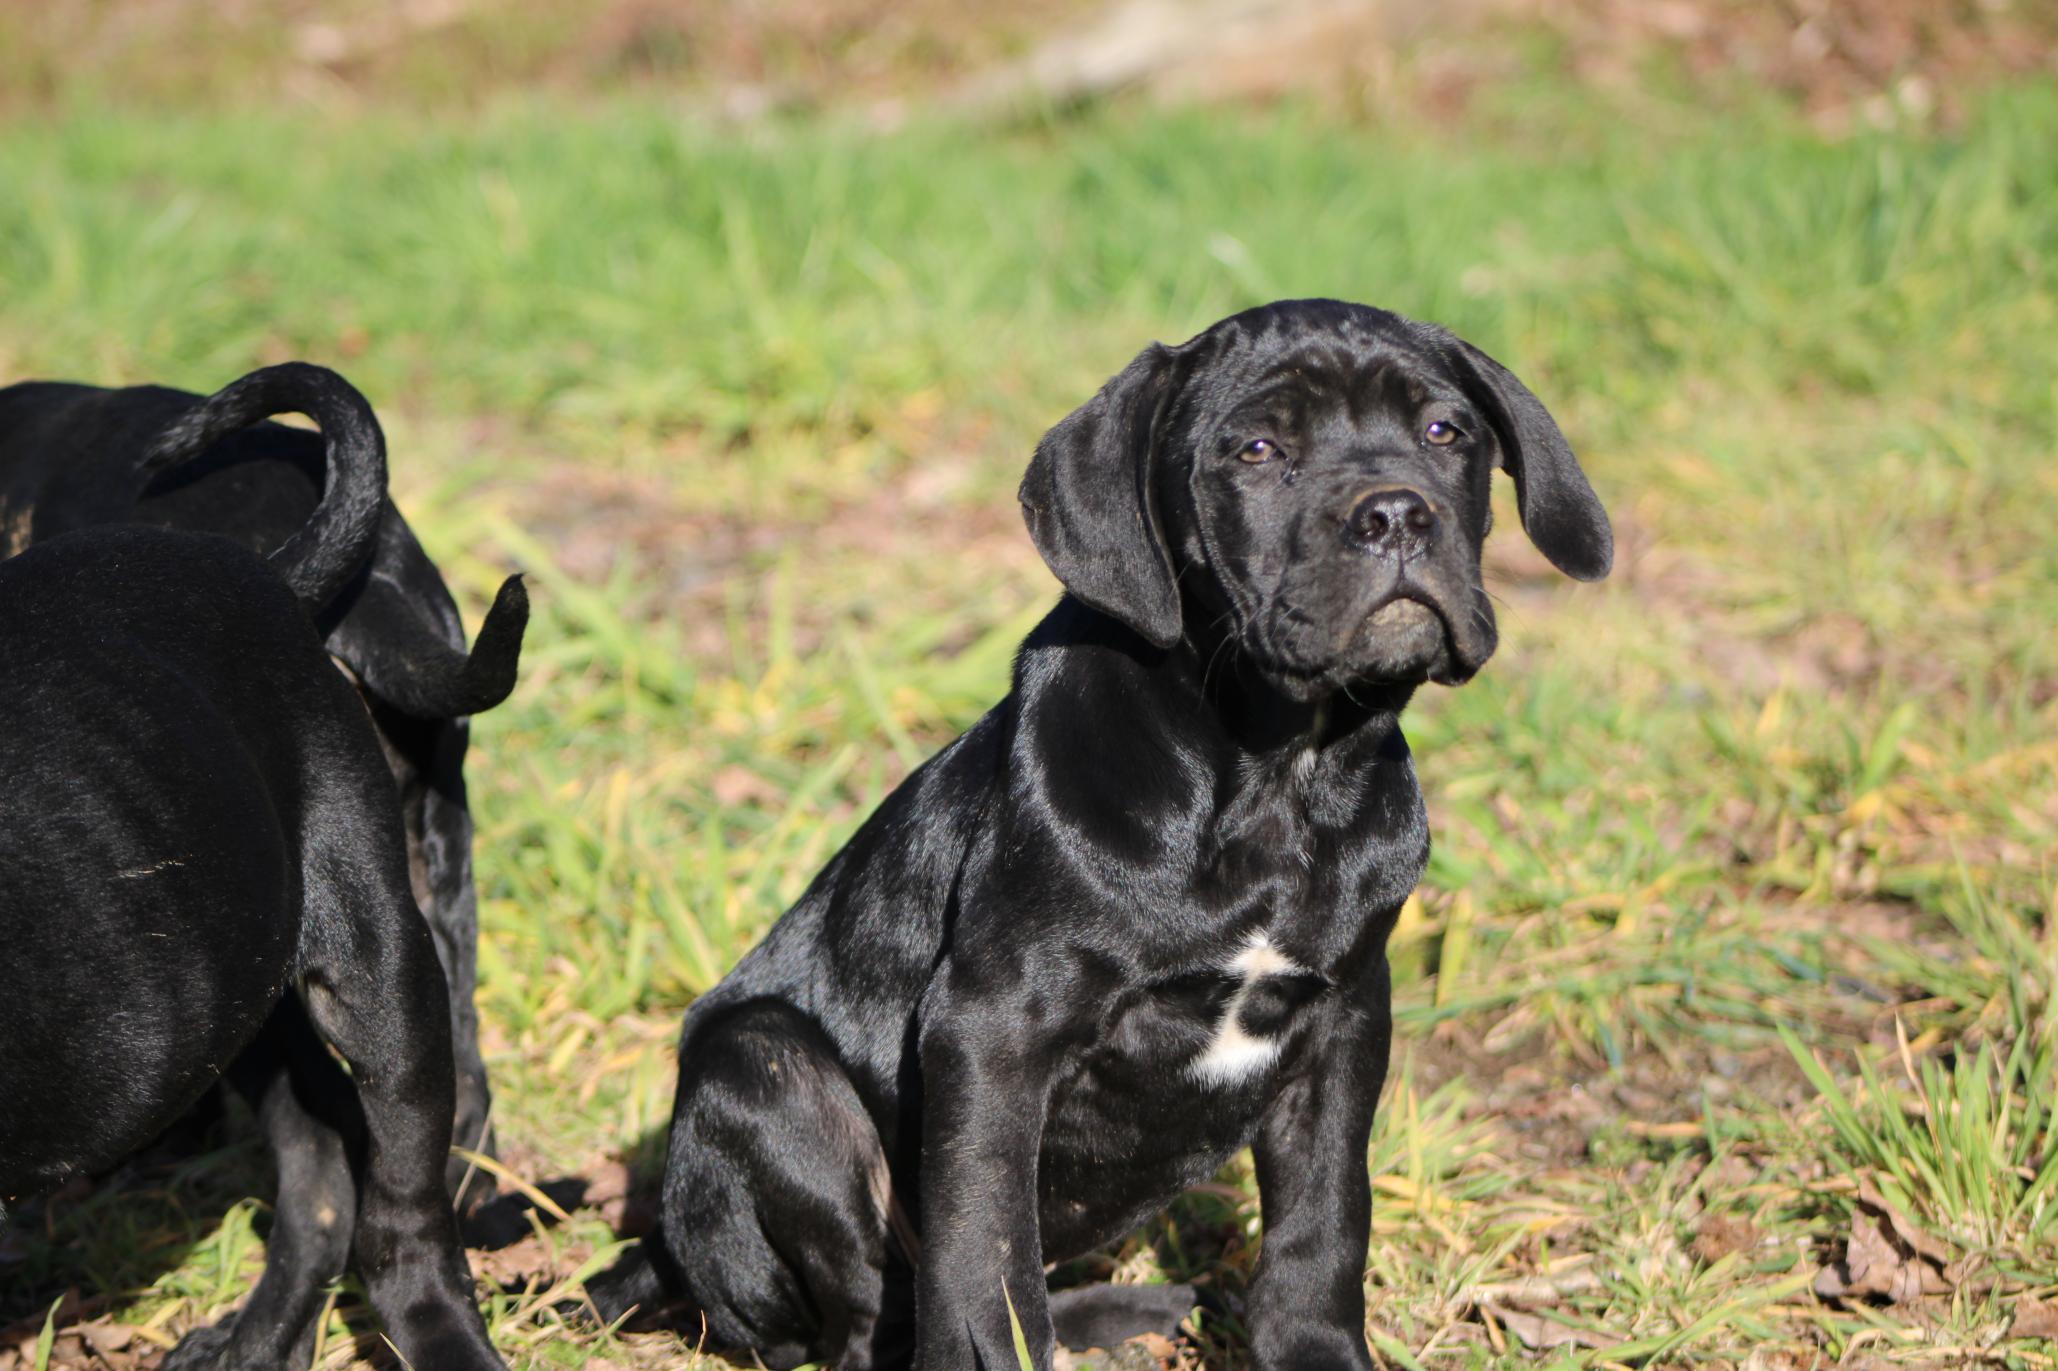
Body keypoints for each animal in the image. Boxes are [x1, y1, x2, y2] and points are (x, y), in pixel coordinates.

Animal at [588, 298, 1613, 1366]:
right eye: (1256, 450)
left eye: (1445, 432)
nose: (1397, 513)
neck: (1277, 776)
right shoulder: (992, 1031)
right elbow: (984, 1253)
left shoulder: (1344, 1023)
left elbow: (1324, 1222)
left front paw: (1315, 1351)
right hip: (763, 1069)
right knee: (874, 1315)